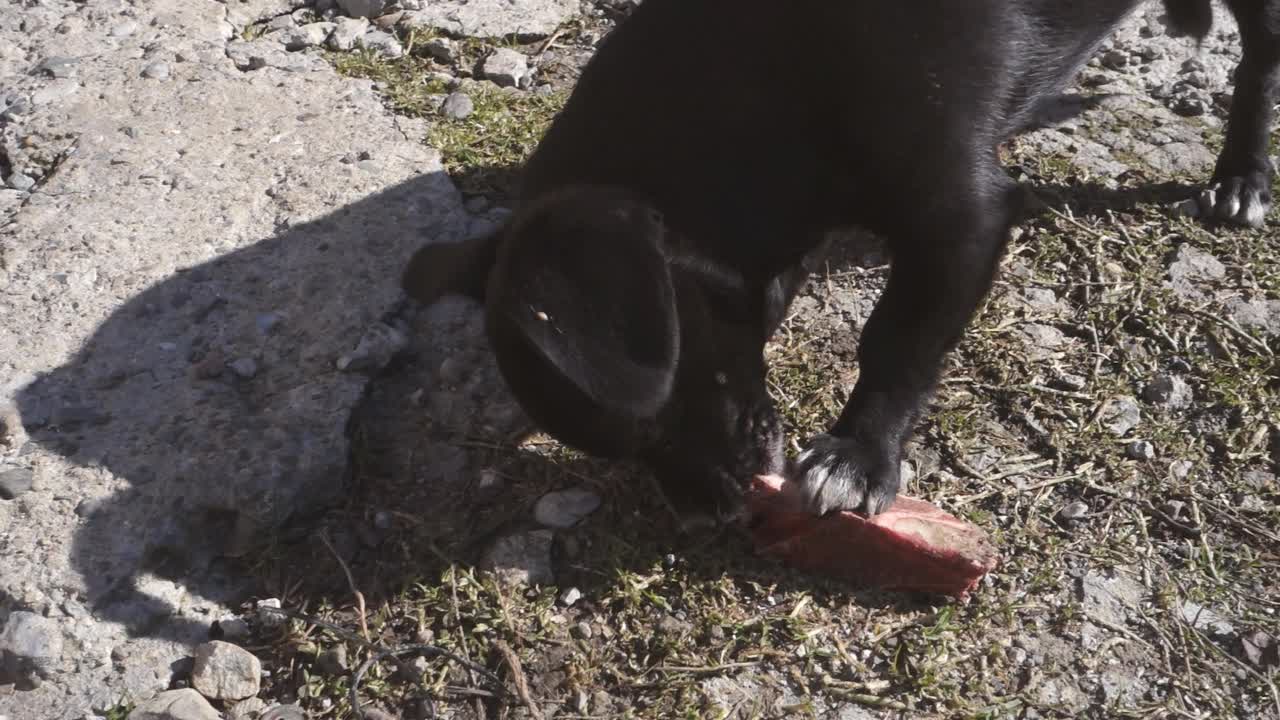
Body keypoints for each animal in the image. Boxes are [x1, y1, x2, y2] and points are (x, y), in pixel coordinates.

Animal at [404, 1, 1274, 520]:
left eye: (663, 414)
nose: (717, 510)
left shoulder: (962, 216)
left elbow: (897, 341)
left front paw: (860, 454)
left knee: (1258, 55)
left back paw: (1241, 175)